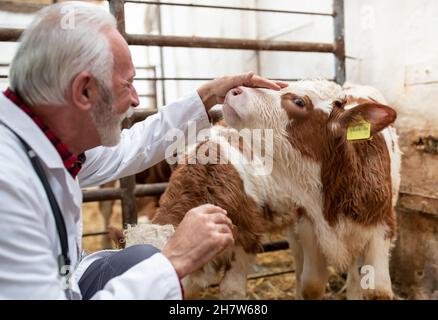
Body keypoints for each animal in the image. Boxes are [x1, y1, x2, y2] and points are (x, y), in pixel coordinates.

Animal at [129, 80, 400, 300]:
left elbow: (377, 291)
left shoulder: (246, 236)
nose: (234, 89)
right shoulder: (308, 228)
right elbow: (311, 285)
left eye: (299, 101)